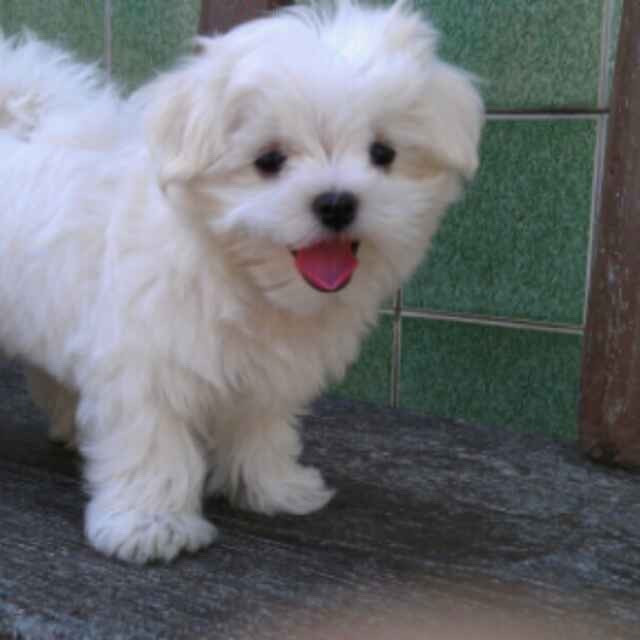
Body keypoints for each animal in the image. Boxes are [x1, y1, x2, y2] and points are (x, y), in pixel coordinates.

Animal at [0, 0, 483, 563]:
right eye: (268, 160)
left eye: (382, 153)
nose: (336, 203)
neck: (238, 271)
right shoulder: (148, 360)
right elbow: (154, 440)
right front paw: (150, 524)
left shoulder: (266, 374)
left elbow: (262, 428)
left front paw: (272, 486)